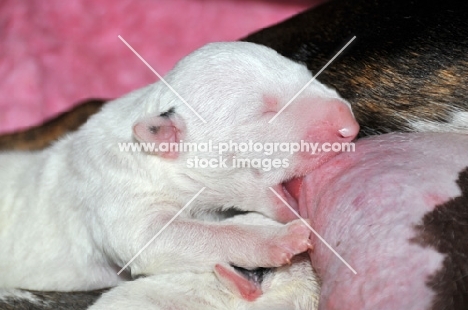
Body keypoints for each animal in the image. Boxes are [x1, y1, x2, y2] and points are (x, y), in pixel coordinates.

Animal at [0, 41, 358, 298]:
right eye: (265, 110)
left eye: (308, 73)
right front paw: (277, 238)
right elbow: (159, 236)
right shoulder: (114, 194)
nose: (349, 125)